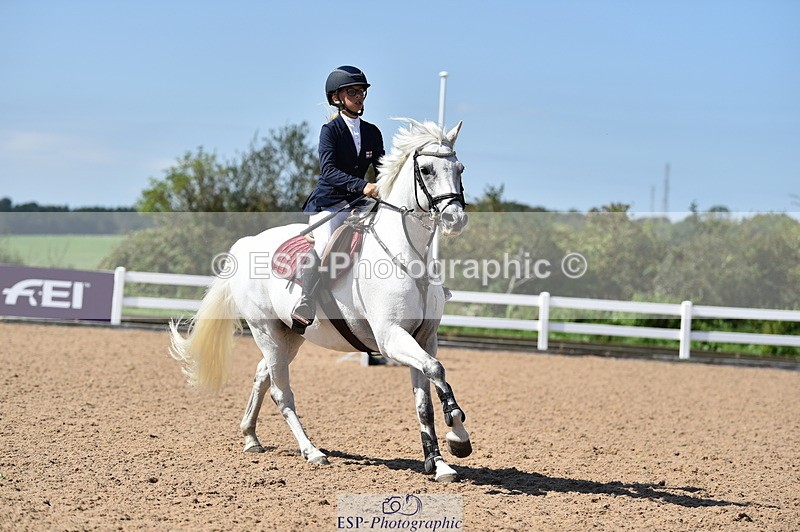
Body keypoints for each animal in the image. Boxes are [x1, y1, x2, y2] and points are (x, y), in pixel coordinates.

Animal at [169, 118, 471, 482]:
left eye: (460, 168)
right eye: (425, 169)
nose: (456, 220)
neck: (407, 255)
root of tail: (246, 245)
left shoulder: (424, 338)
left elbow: (425, 399)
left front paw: (439, 462)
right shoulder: (392, 337)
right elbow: (437, 370)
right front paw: (458, 433)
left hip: (290, 336)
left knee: (262, 375)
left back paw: (251, 437)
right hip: (266, 331)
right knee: (280, 392)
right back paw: (312, 451)